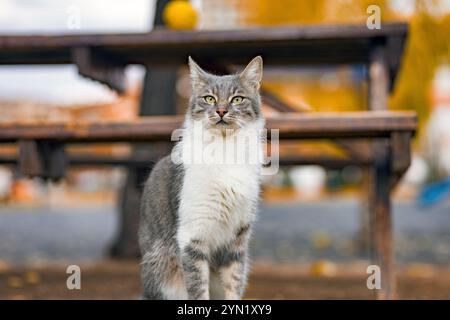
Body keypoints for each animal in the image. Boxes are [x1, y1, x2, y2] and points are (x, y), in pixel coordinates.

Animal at [137, 55, 264, 300]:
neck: (225, 150)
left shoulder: (238, 240)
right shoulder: (192, 237)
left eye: (237, 99)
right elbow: (198, 287)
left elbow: (234, 282)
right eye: (209, 98)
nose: (221, 111)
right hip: (161, 270)